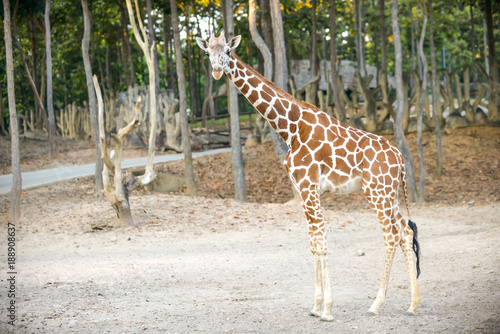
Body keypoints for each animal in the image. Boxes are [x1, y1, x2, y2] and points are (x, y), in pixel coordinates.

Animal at [197, 30, 420, 320]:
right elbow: (313, 243)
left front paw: (327, 309)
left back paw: (376, 304)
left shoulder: (309, 186)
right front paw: (315, 306)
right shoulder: (303, 189)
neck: (290, 128)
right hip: (389, 193)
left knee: (391, 235)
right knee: (405, 231)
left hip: (377, 192)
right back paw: (413, 304)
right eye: (208, 52)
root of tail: (400, 159)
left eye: (228, 52)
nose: (215, 70)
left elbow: (322, 242)